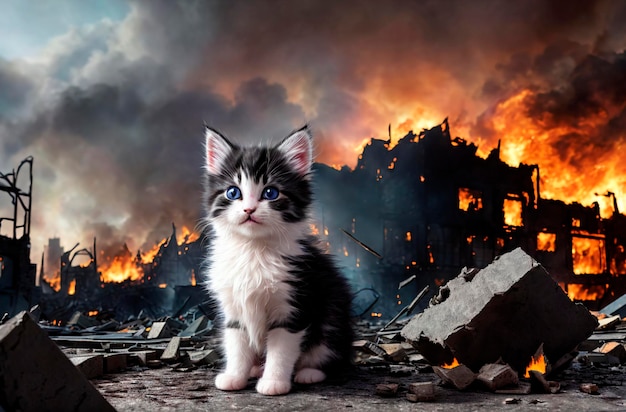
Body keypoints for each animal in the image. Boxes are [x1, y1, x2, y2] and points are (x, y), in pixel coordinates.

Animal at [202, 124, 354, 396]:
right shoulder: (233, 308)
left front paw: (274, 382)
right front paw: (234, 376)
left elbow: (281, 351)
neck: (252, 249)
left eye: (270, 192)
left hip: (334, 317)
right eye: (233, 192)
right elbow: (236, 345)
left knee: (331, 354)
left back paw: (309, 372)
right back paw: (255, 368)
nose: (249, 210)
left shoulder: (294, 304)